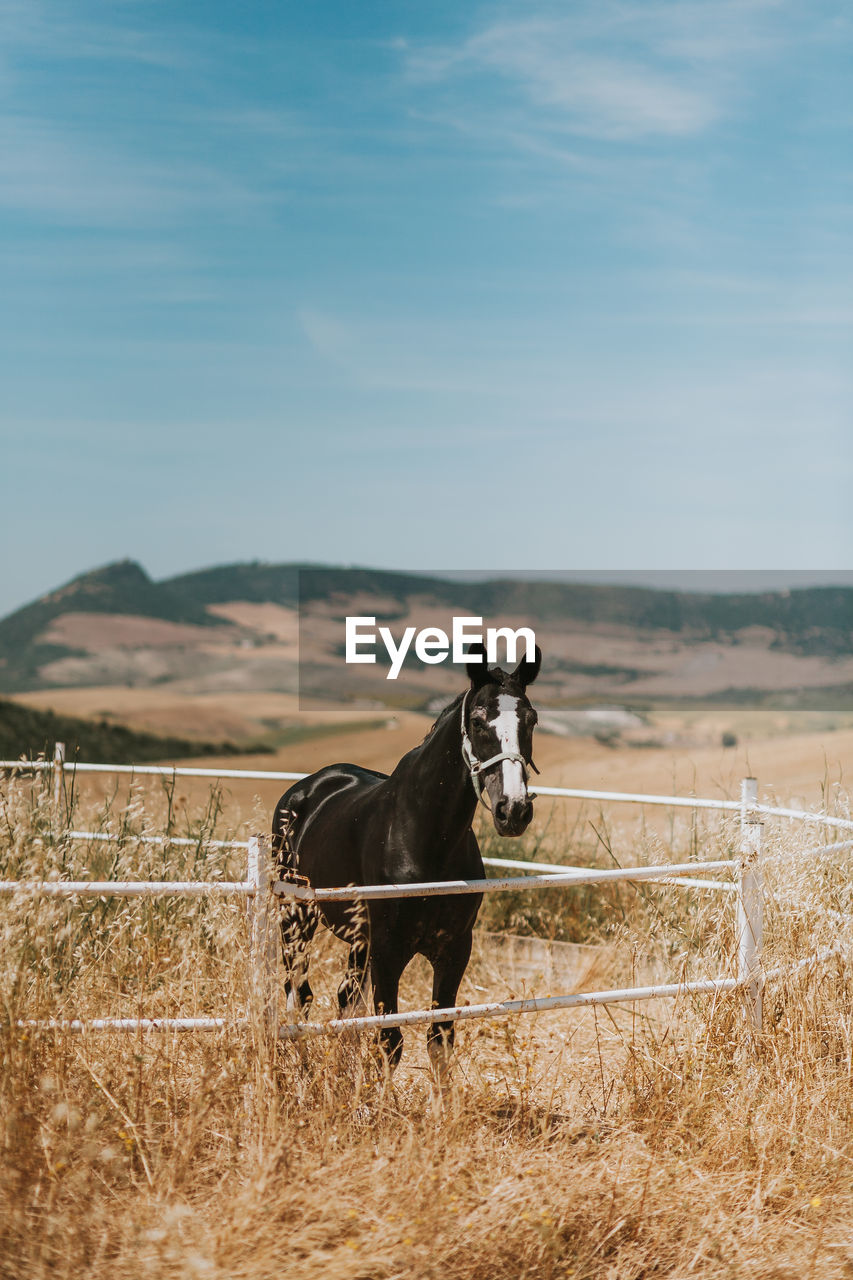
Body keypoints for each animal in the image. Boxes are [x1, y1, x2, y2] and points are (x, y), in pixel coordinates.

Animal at [268, 640, 540, 1070]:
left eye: (531, 720)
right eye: (479, 721)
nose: (513, 810)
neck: (426, 840)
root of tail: (306, 789)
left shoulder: (453, 950)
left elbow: (439, 1039)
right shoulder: (388, 952)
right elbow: (389, 1041)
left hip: (357, 941)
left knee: (345, 1000)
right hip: (296, 918)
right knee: (299, 993)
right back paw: (304, 1071)